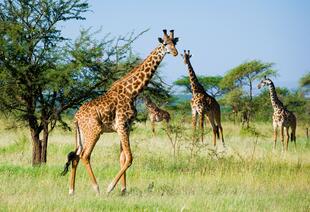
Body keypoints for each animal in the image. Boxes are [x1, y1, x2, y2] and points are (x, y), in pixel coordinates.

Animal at [61, 29, 179, 195]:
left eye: (175, 43)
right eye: (165, 44)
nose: (175, 52)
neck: (133, 91)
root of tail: (76, 117)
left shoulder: (125, 127)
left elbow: (122, 158)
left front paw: (123, 190)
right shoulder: (122, 125)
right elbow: (129, 158)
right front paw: (111, 188)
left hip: (82, 133)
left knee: (76, 156)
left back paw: (72, 191)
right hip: (94, 131)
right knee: (85, 155)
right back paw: (97, 188)